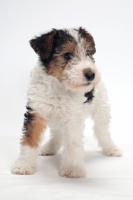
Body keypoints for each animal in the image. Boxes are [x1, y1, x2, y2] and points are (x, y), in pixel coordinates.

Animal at [11, 27, 122, 178]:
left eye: (88, 53)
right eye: (67, 55)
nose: (91, 74)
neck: (58, 87)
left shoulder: (72, 118)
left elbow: (72, 143)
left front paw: (72, 169)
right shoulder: (35, 113)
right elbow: (29, 141)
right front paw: (23, 166)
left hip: (101, 110)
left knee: (103, 131)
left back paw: (112, 149)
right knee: (57, 134)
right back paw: (48, 148)